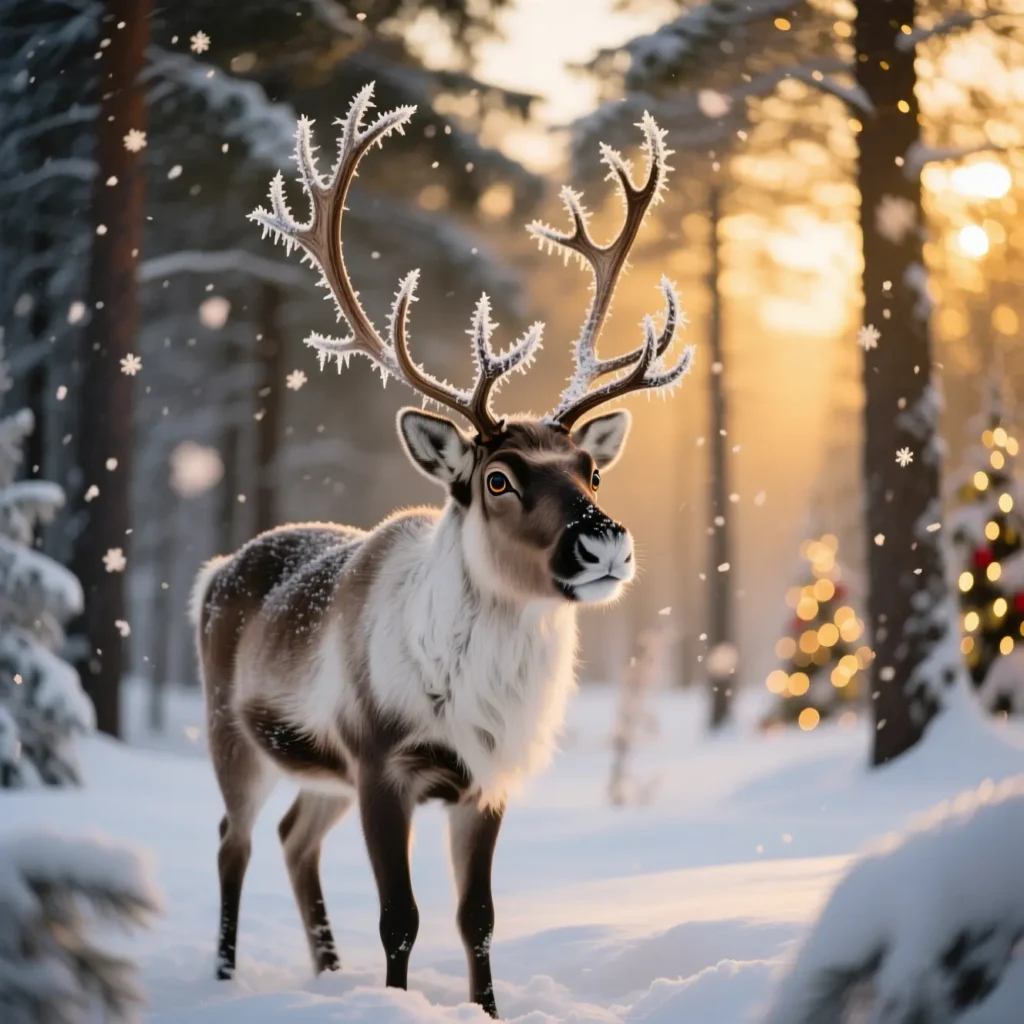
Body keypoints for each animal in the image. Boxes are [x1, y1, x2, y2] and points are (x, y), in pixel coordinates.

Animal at [190, 82, 693, 1019]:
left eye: (589, 471)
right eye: (497, 477)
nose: (603, 539)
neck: (475, 695)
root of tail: (213, 573)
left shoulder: (484, 780)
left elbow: (476, 919)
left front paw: (484, 1007)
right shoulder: (381, 761)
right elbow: (403, 919)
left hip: (320, 774)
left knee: (292, 837)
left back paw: (326, 974)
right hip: (233, 735)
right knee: (233, 840)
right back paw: (227, 974)